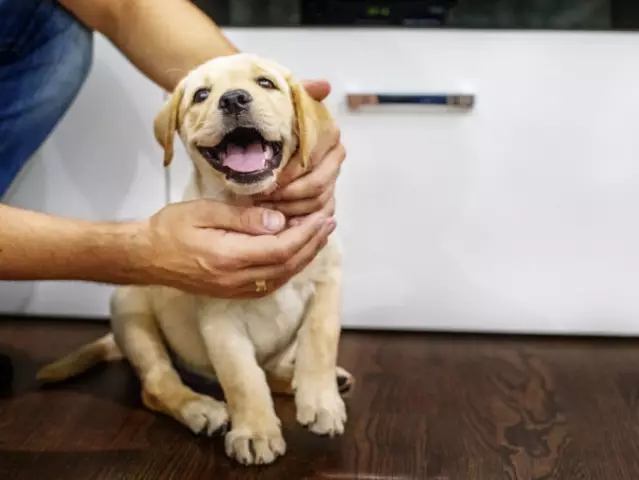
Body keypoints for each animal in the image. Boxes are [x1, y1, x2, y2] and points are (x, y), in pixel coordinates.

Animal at [37, 52, 352, 464]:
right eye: (202, 94)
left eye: (265, 83)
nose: (233, 99)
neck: (254, 203)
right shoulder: (221, 317)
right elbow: (242, 377)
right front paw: (255, 431)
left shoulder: (328, 281)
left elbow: (320, 340)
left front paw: (321, 400)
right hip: (131, 310)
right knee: (157, 384)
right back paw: (200, 408)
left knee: (269, 370)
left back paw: (302, 378)